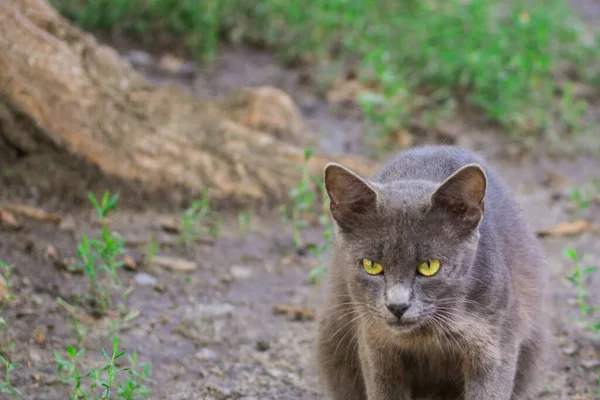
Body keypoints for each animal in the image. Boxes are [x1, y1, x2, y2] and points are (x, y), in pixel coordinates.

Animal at [318, 146, 548, 400]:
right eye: (371, 265)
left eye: (429, 266)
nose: (397, 306)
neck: (425, 335)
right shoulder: (375, 343)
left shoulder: (495, 343)